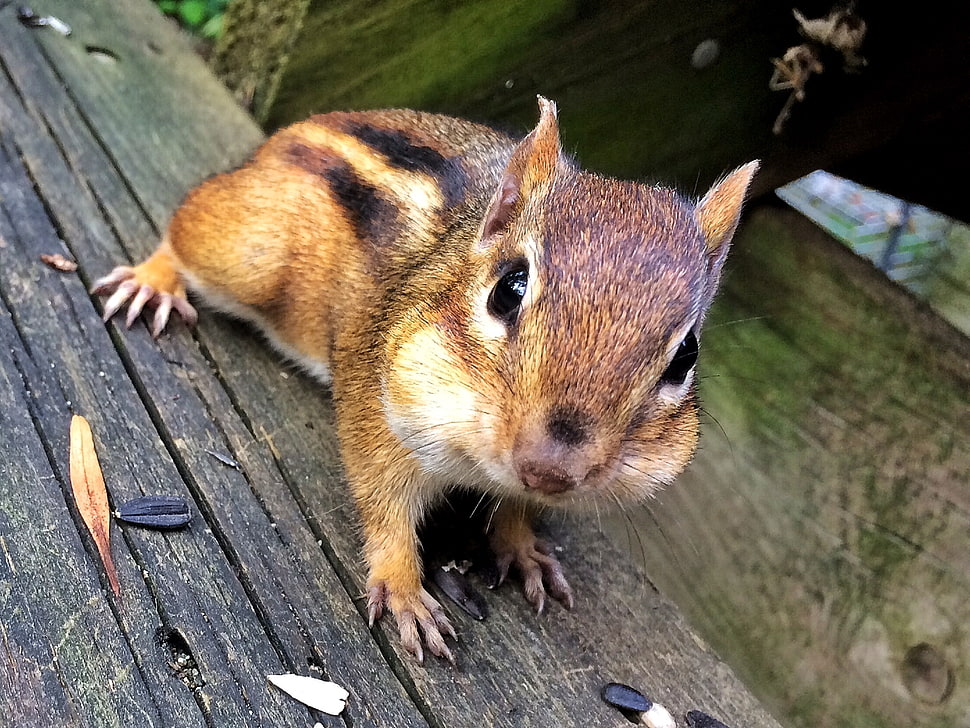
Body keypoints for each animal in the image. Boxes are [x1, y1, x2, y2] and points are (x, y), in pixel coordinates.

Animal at [93, 97, 758, 663]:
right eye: (508, 289)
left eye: (685, 356)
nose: (551, 469)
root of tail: (279, 139)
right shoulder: (378, 406)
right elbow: (382, 504)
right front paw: (405, 589)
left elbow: (517, 507)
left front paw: (523, 548)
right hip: (247, 248)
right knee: (183, 232)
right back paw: (153, 279)